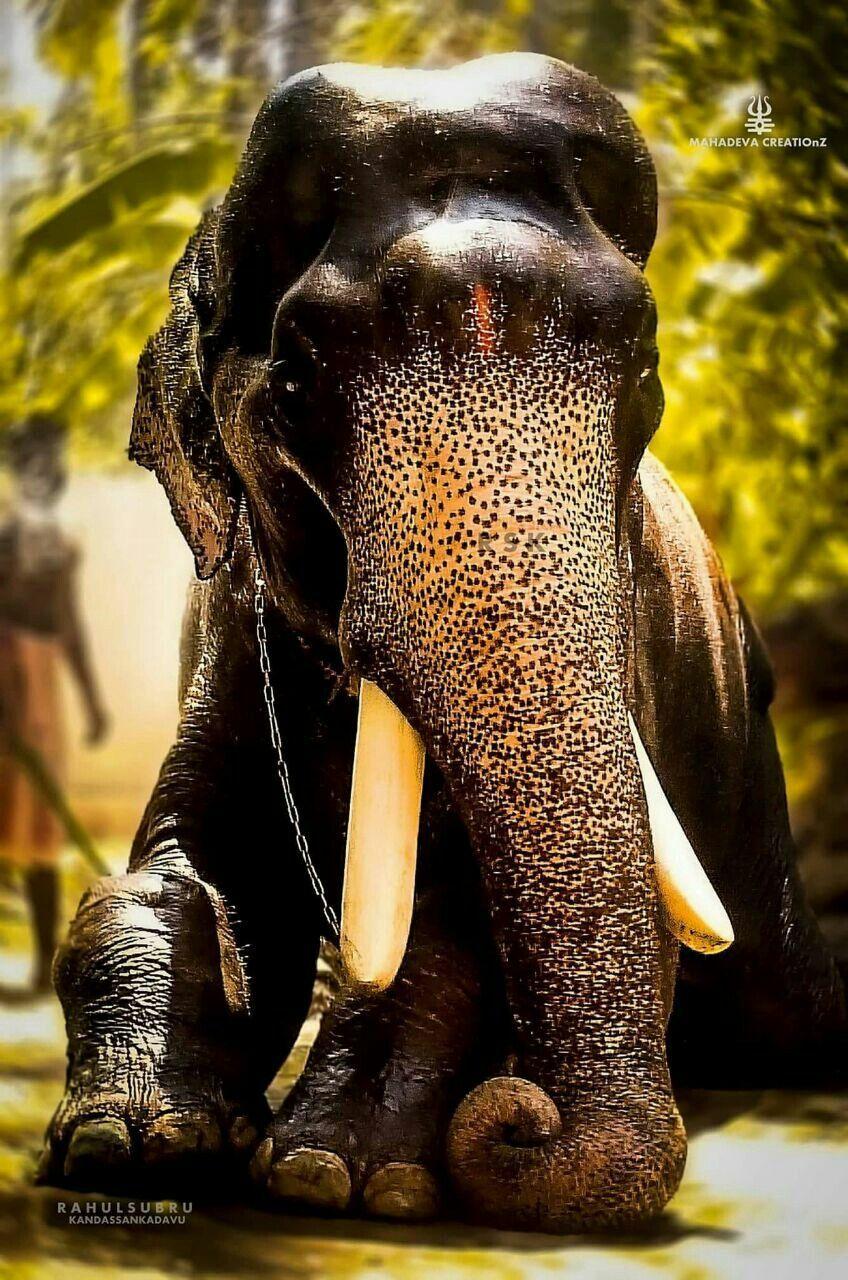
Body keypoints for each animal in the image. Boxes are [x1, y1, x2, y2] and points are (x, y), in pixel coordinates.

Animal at [39, 53, 846, 1233]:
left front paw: (335, 1174)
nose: (525, 1121)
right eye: (294, 382)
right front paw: (135, 1143)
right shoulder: (230, 637)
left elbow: (456, 914)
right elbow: (188, 873)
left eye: (645, 373)